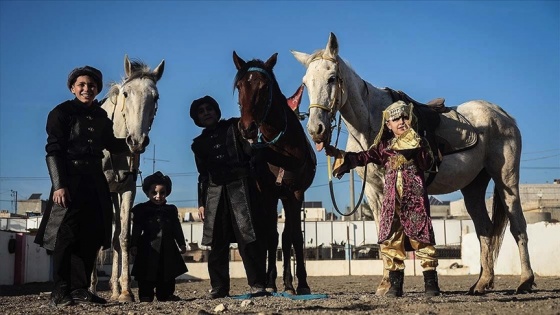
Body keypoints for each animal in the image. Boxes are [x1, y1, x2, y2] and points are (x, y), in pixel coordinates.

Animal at [89, 55, 164, 302]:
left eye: (155, 97)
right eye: (125, 93)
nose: (137, 141)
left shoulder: (128, 189)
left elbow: (123, 238)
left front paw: (125, 291)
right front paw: (92, 288)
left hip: (114, 193)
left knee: (114, 238)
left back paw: (113, 288)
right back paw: (92, 287)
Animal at [232, 51, 318, 296]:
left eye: (264, 86)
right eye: (240, 85)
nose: (247, 128)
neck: (281, 148)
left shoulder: (296, 193)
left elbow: (296, 237)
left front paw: (303, 284)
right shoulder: (269, 193)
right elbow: (271, 236)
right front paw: (270, 282)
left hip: (288, 197)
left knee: (289, 236)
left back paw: (290, 284)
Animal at [294, 32, 532, 296]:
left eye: (332, 78)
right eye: (306, 83)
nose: (316, 130)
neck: (372, 122)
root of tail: (503, 115)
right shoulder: (374, 191)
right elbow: (383, 235)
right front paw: (385, 284)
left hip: (506, 179)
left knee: (518, 225)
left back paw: (525, 281)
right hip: (473, 186)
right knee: (485, 230)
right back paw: (482, 283)